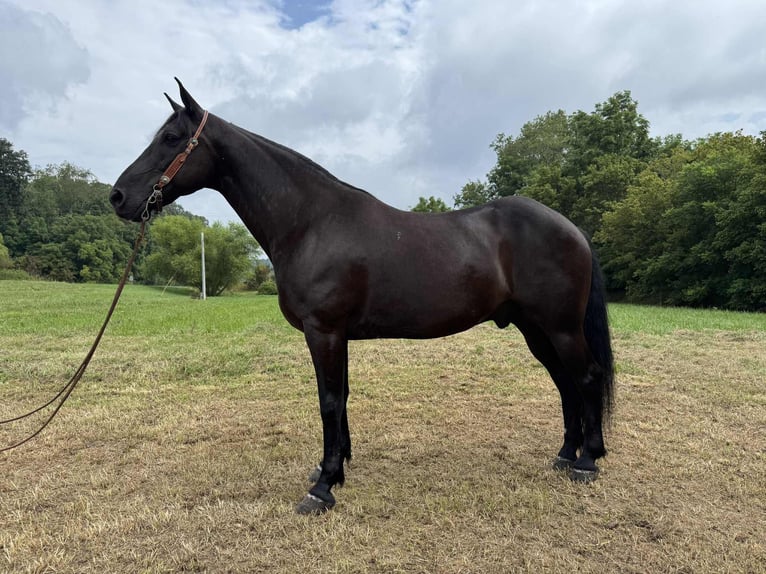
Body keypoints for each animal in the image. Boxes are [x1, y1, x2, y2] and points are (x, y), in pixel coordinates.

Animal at [110, 79, 615, 515]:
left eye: (171, 137)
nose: (117, 197)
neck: (312, 222)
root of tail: (570, 227)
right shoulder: (338, 336)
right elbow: (342, 398)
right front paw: (334, 468)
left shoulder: (325, 332)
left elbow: (329, 401)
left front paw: (322, 488)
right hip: (536, 330)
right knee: (566, 384)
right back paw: (565, 454)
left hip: (560, 327)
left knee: (586, 378)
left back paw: (587, 461)